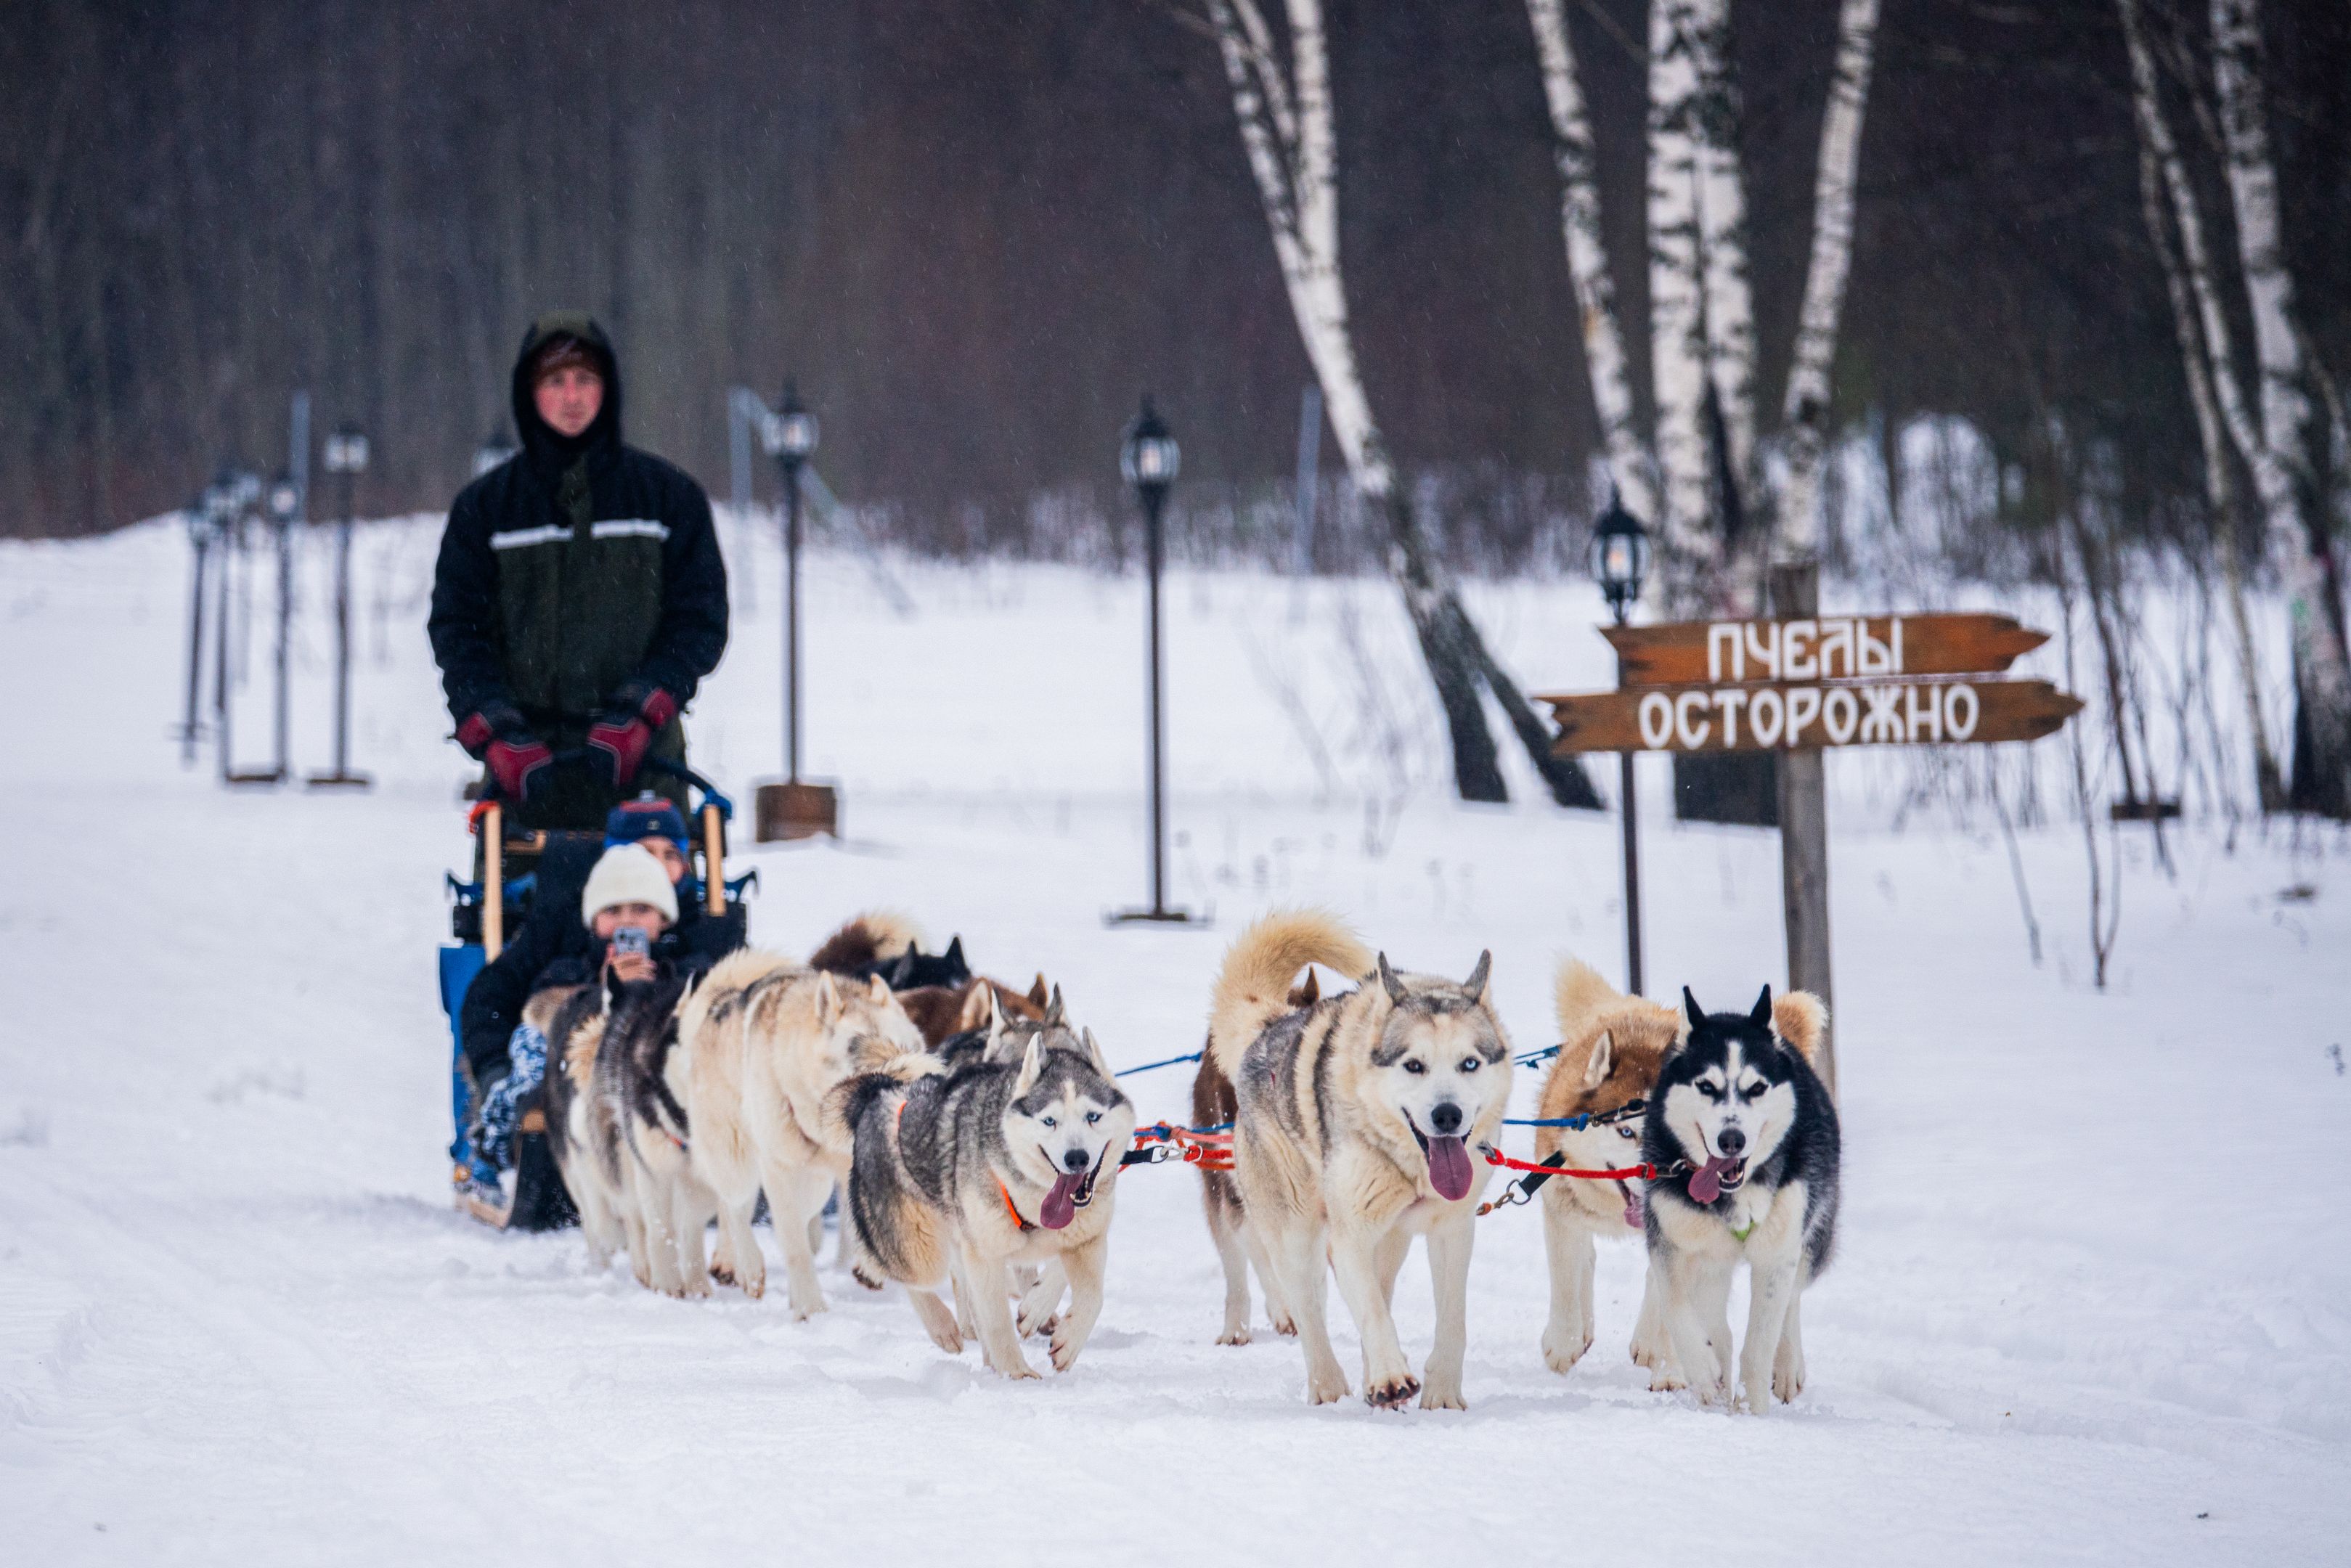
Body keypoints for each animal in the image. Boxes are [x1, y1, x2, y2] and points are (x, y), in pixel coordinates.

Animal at [672, 950, 926, 1316]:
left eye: (909, 1049)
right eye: (862, 1052)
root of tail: (720, 1001)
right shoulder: (779, 1172)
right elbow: (795, 1247)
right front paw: (810, 1309)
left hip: (812, 1186)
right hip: (737, 1161)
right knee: (735, 1207)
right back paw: (747, 1268)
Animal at [836, 1006, 1138, 1373]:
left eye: (1093, 1116)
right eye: (1049, 1121)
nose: (1077, 1158)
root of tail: (879, 1092)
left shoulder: (1087, 1239)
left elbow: (1091, 1295)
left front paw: (1061, 1336)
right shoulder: (985, 1254)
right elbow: (996, 1321)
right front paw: (1017, 1375)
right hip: (920, 1247)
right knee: (908, 1276)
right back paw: (942, 1327)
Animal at [1203, 907, 1514, 1410]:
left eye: (1469, 1063)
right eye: (1413, 1065)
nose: (1447, 1115)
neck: (1411, 1168)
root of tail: (1271, 1026)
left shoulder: (1452, 1230)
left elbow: (1452, 1320)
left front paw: (1442, 1394)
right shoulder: (1347, 1241)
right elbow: (1371, 1313)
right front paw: (1391, 1376)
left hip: (1391, 1242)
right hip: (1295, 1234)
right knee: (1310, 1314)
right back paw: (1330, 1388)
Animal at [1636, 987, 1833, 1419]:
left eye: (1757, 1088)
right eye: (1706, 1086)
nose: (1731, 1140)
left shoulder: (1778, 1254)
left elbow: (1760, 1343)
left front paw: (1753, 1412)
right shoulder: (1680, 1245)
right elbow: (1678, 1308)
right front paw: (1707, 1375)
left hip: (1812, 1233)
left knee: (1792, 1298)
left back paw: (1787, 1367)